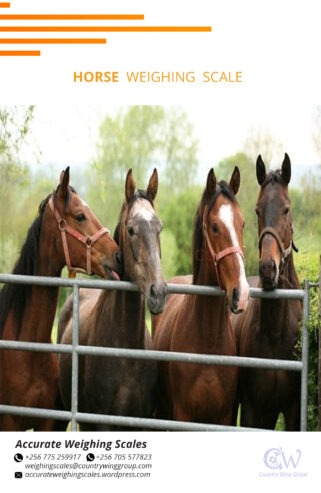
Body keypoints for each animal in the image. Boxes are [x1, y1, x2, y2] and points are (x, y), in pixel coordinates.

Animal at [151, 166, 249, 422]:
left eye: (242, 224)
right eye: (214, 226)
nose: (242, 293)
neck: (208, 343)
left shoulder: (224, 416)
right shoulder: (182, 415)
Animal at [231, 153, 302, 426]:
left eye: (286, 208)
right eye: (257, 209)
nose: (268, 269)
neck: (275, 331)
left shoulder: (292, 409)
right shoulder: (252, 408)